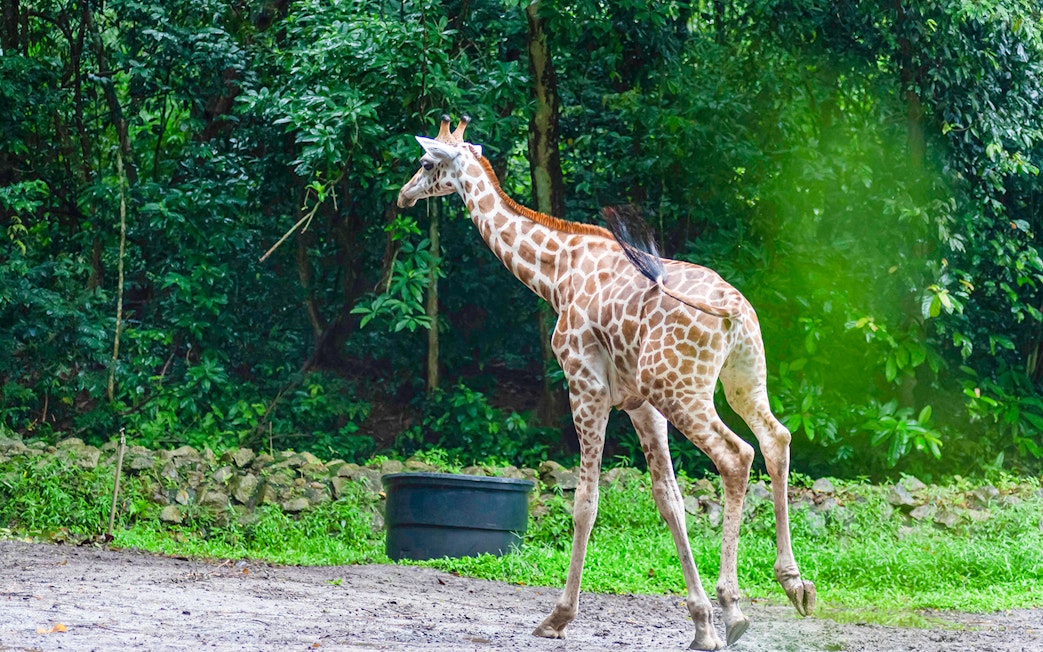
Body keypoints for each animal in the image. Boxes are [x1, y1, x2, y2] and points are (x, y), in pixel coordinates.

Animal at [396, 116, 815, 650]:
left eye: (425, 161)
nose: (405, 195)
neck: (555, 273)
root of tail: (734, 311)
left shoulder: (586, 385)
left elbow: (585, 502)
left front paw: (558, 617)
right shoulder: (640, 405)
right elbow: (669, 500)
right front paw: (700, 624)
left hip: (680, 388)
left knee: (736, 455)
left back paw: (735, 607)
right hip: (741, 378)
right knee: (776, 438)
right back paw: (795, 585)